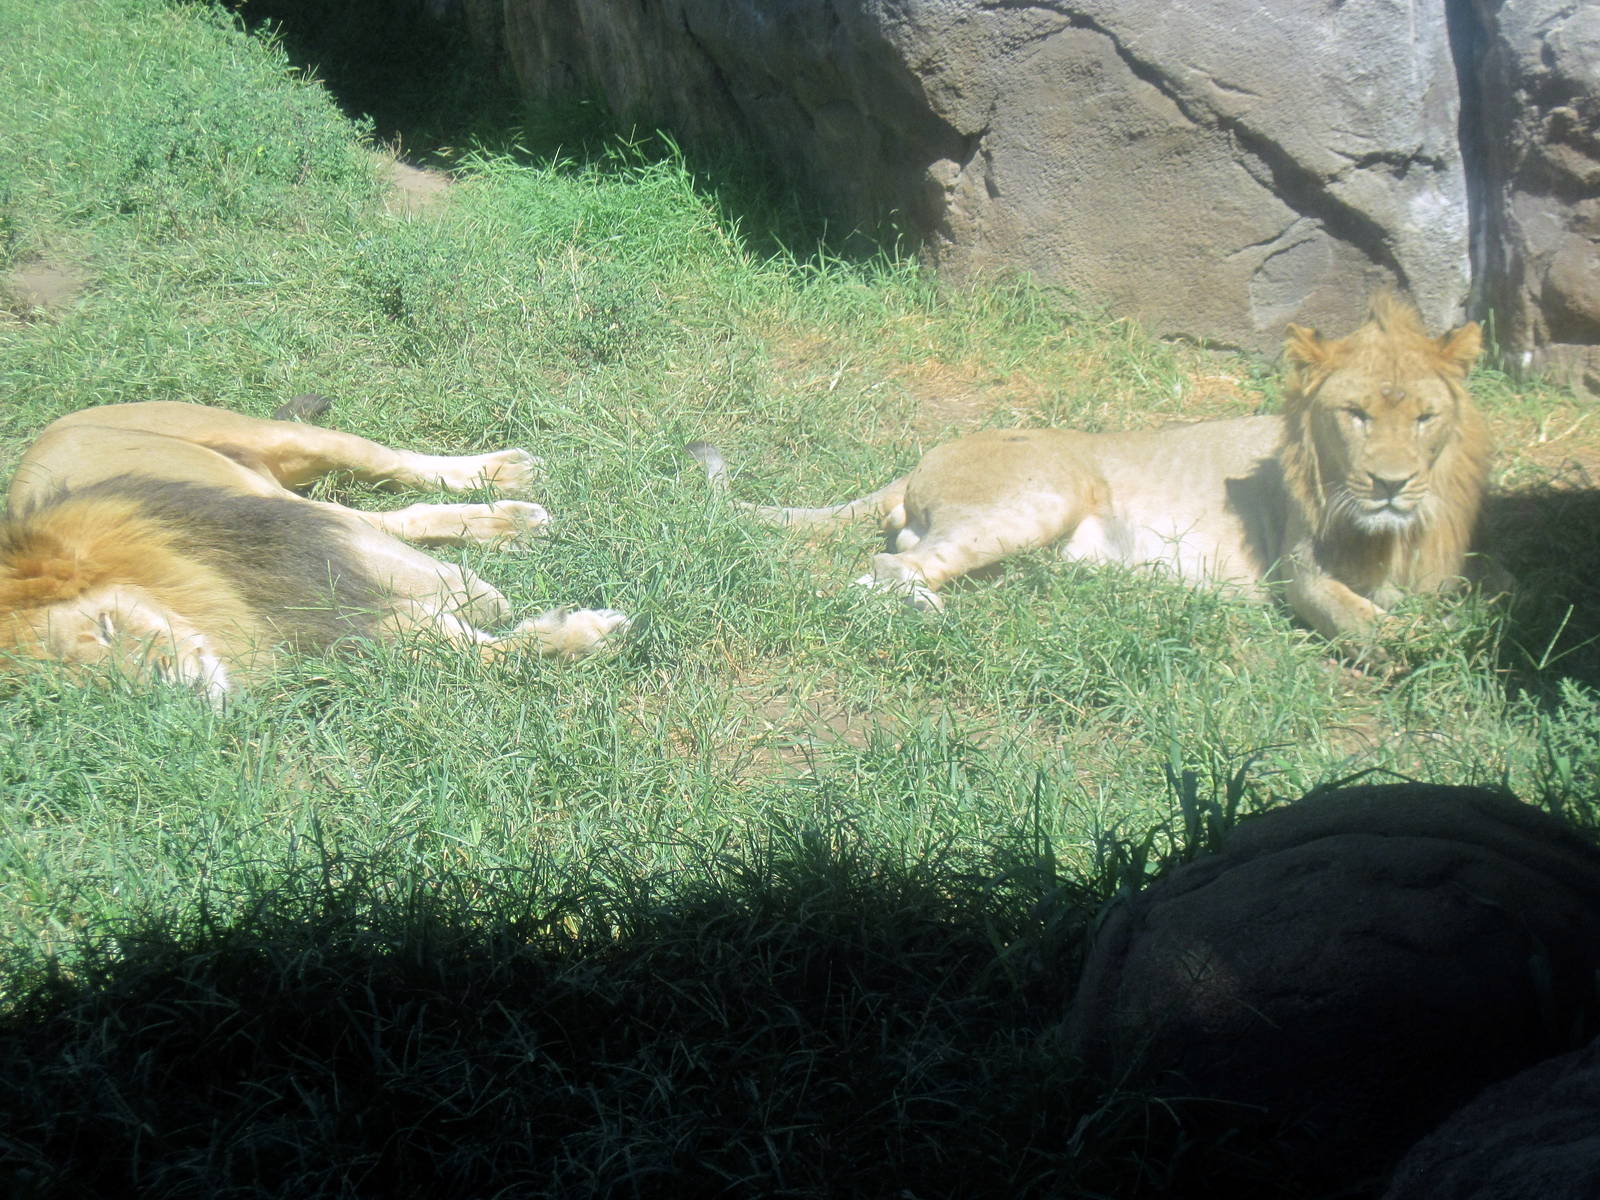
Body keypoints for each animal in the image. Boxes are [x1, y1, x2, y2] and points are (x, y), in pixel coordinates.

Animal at [1, 400, 631, 698]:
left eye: (106, 628)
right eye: (101, 690)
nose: (169, 695)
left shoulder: (276, 538)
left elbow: (427, 587)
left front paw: (477, 596)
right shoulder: (318, 619)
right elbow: (457, 648)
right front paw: (576, 637)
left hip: (281, 444)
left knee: (395, 469)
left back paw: (505, 479)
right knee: (386, 516)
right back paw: (507, 521)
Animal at [687, 293, 1493, 651]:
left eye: (1425, 417)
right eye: (1355, 414)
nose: (1390, 483)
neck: (1400, 531)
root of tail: (928, 453)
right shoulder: (1300, 571)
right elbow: (1376, 627)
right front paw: (1430, 654)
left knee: (904, 558)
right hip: (1044, 494)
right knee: (885, 571)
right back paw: (936, 621)